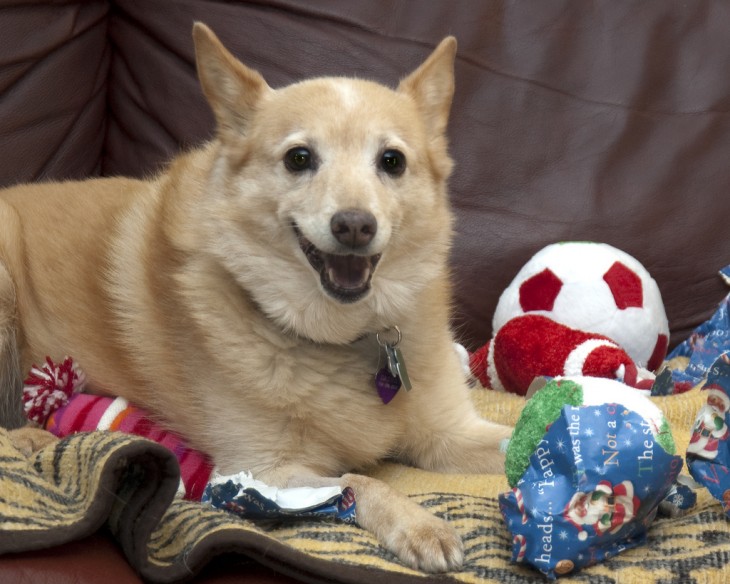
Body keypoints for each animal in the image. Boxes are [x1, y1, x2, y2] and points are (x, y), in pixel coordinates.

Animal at [0, 25, 510, 572]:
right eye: (299, 158)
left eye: (391, 161)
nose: (354, 226)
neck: (349, 337)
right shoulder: (264, 470)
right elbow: (360, 480)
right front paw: (419, 524)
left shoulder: (452, 435)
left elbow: (522, 434)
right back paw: (32, 437)